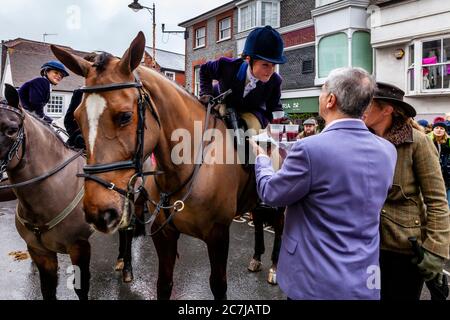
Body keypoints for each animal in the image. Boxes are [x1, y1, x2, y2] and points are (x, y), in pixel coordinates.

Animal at [50, 31, 256, 298]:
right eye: (76, 117)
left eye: (125, 116)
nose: (98, 212)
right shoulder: (165, 235)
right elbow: (164, 284)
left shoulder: (219, 236)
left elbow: (218, 285)